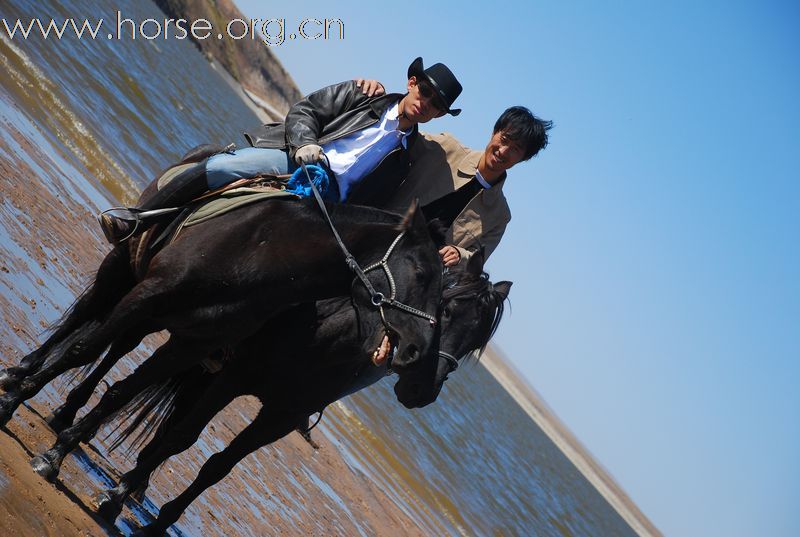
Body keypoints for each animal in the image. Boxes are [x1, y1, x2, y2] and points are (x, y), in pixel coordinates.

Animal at [84, 255, 510, 532]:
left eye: (474, 341)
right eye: (448, 310)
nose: (423, 390)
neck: (331, 330)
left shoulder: (282, 416)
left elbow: (217, 467)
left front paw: (160, 523)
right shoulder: (234, 378)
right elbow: (182, 437)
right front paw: (114, 500)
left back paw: (139, 480)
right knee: (124, 350)